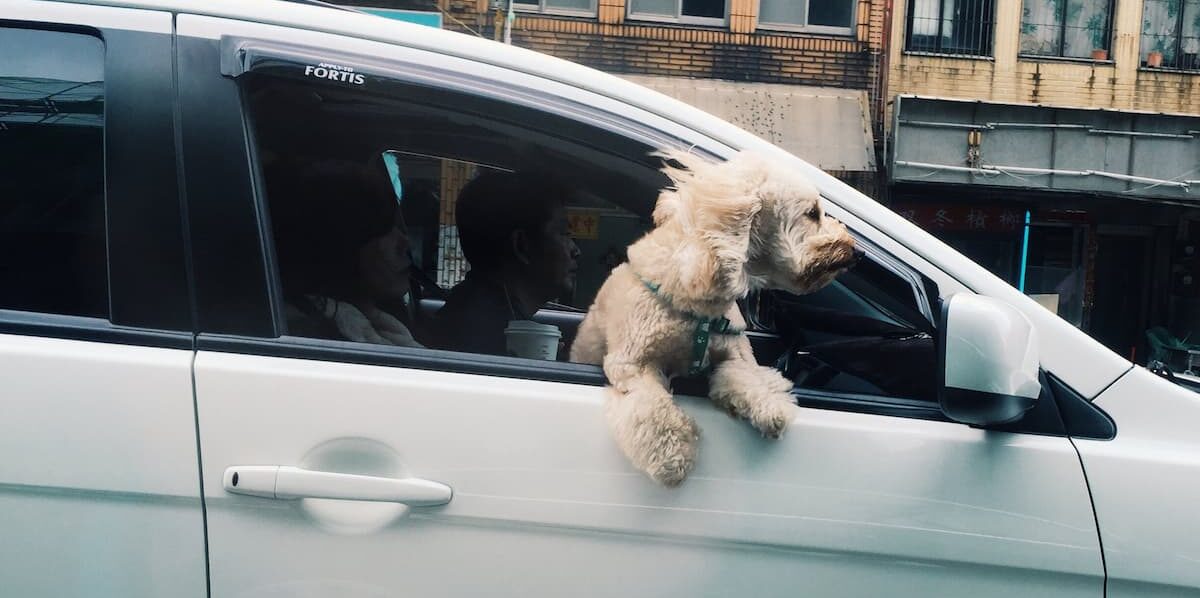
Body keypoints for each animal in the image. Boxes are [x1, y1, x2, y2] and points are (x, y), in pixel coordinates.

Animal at [576, 149, 859, 485]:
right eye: (812, 213)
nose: (856, 251)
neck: (698, 307)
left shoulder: (734, 353)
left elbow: (746, 377)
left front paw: (769, 406)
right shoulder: (632, 365)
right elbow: (655, 410)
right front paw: (673, 457)